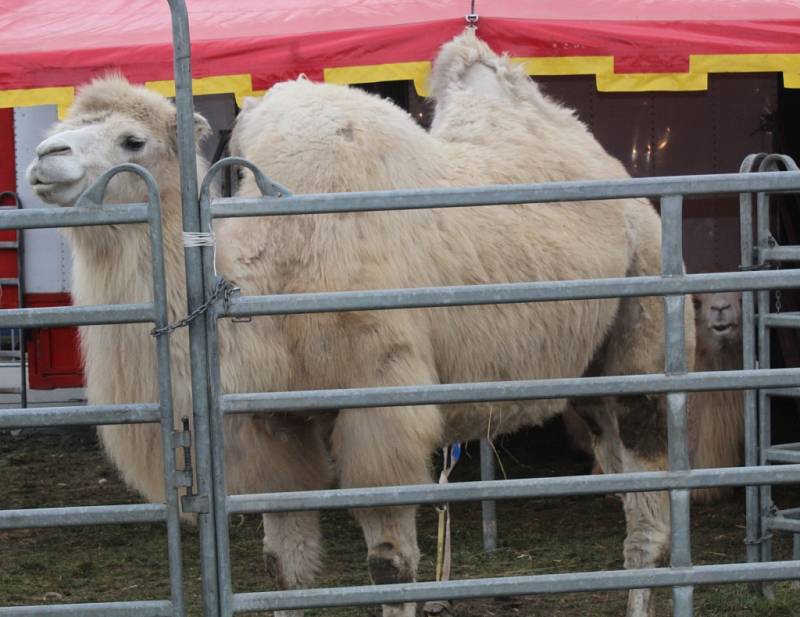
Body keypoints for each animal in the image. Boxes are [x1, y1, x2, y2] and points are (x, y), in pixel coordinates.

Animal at [28, 32, 692, 616]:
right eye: (60, 127)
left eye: (132, 140)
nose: (43, 157)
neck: (268, 276)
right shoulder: (273, 424)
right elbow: (284, 569)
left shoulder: (381, 408)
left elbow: (390, 566)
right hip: (589, 382)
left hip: (645, 327)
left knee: (648, 524)